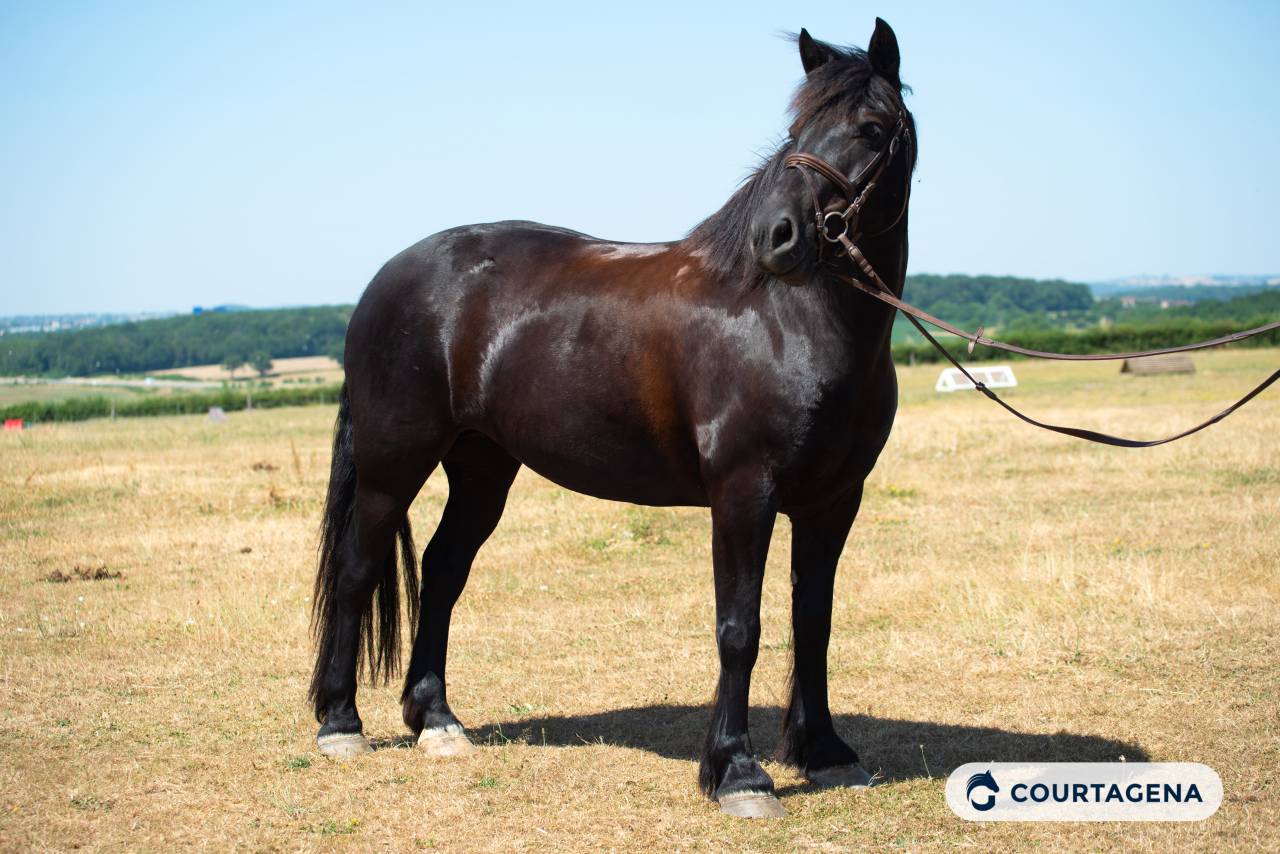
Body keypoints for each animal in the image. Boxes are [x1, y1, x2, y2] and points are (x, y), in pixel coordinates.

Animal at [308, 18, 916, 819]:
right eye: (797, 129)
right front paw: (738, 773)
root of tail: (388, 278)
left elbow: (811, 621)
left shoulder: (833, 502)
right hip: (392, 462)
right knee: (357, 569)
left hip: (482, 468)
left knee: (441, 572)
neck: (789, 322)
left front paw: (824, 752)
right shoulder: (743, 494)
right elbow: (740, 628)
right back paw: (340, 724)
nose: (777, 238)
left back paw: (436, 720)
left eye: (871, 128)